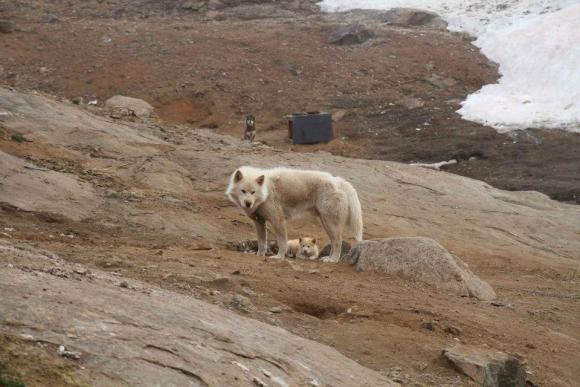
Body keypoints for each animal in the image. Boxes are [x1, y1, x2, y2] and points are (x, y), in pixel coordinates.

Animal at [227, 167, 362, 264]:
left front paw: (279, 257)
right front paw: (260, 255)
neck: (265, 190)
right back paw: (329, 258)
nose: (248, 203)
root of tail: (337, 180)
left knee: (338, 242)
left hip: (329, 223)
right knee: (335, 242)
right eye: (243, 191)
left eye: (253, 192)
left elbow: (282, 243)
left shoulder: (278, 221)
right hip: (325, 222)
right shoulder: (259, 222)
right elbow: (262, 242)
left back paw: (333, 260)